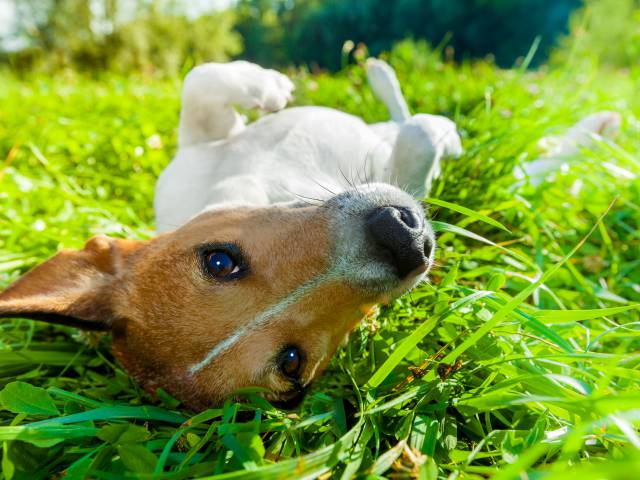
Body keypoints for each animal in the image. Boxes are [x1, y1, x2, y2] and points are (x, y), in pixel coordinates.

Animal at [0, 57, 462, 408]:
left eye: (219, 260)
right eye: (291, 362)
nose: (403, 241)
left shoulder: (195, 149)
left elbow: (201, 78)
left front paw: (269, 87)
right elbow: (418, 144)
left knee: (397, 116)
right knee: (408, 125)